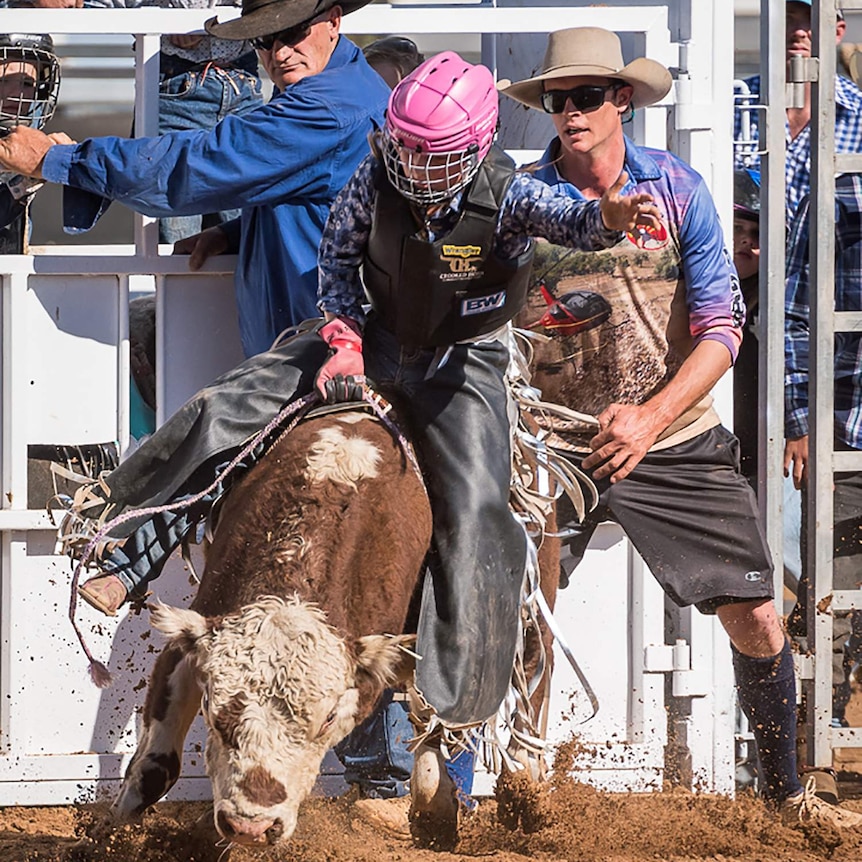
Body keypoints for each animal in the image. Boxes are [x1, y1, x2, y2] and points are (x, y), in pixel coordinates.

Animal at [104, 412, 462, 852]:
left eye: (328, 719)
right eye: (212, 708)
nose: (251, 826)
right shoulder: (192, 641)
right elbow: (155, 768)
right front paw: (105, 836)